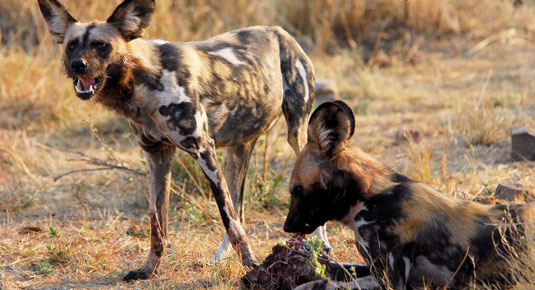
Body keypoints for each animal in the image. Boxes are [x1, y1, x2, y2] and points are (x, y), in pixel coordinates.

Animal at [38, 0, 322, 280]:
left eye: (101, 45)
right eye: (71, 45)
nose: (77, 65)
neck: (144, 84)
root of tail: (279, 30)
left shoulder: (204, 150)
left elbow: (229, 221)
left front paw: (252, 267)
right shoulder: (157, 156)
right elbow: (158, 225)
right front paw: (148, 270)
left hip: (297, 137)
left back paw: (320, 247)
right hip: (239, 149)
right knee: (238, 208)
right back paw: (219, 259)